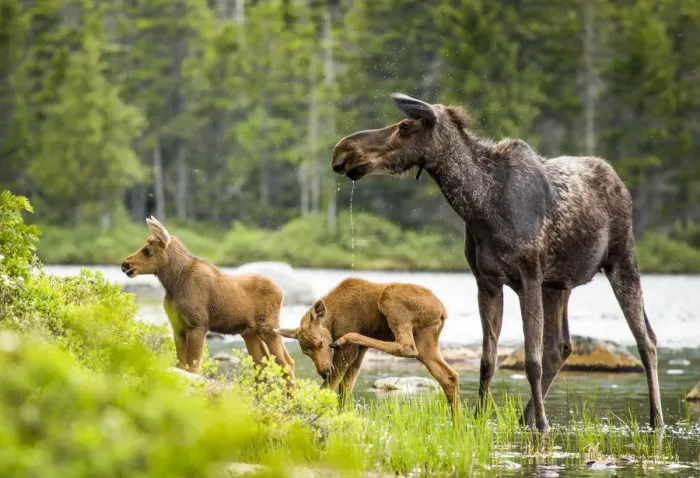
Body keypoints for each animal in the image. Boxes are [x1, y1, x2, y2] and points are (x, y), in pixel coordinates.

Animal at [121, 217, 295, 384]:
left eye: (147, 250)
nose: (125, 264)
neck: (173, 284)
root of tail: (281, 292)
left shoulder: (198, 324)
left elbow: (192, 368)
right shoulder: (177, 326)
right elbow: (181, 365)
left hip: (269, 327)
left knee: (287, 363)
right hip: (249, 332)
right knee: (261, 366)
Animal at [276, 277, 459, 413]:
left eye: (320, 343)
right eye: (306, 352)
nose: (323, 371)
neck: (332, 321)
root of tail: (442, 312)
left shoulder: (348, 351)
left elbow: (329, 386)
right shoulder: (358, 354)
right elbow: (344, 390)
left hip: (391, 299)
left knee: (406, 347)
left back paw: (347, 338)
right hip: (426, 338)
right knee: (448, 375)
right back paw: (456, 426)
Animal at [330, 93, 663, 432]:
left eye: (404, 126)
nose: (343, 150)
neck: (480, 208)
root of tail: (620, 182)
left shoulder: (529, 276)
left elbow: (531, 360)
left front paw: (543, 425)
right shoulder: (486, 281)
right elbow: (488, 360)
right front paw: (479, 416)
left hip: (621, 259)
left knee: (646, 340)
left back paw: (655, 419)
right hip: (559, 284)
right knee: (561, 346)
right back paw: (525, 416)